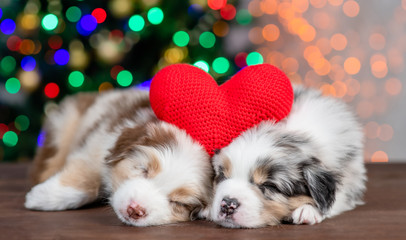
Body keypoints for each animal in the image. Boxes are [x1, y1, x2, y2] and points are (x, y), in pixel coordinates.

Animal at [25, 89, 213, 227]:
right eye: (143, 170)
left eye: (179, 203)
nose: (135, 210)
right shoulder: (99, 142)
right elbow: (87, 177)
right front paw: (40, 197)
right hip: (65, 123)